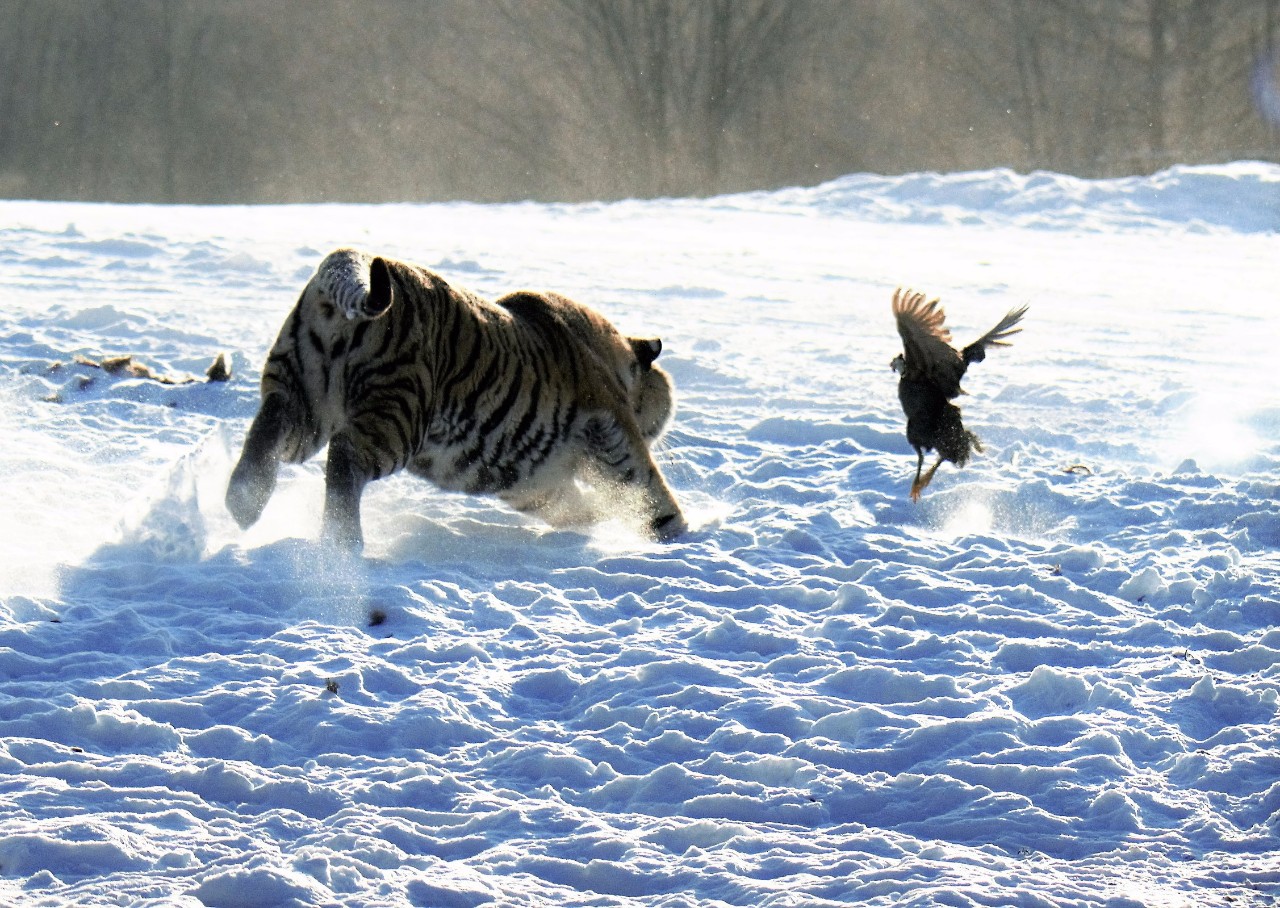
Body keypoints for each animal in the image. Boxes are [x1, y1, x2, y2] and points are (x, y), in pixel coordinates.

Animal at [230, 244, 691, 548]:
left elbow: (578, 505)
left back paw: (243, 500)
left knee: (271, 420)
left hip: (302, 389)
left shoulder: (535, 481)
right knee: (343, 456)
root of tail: (347, 258)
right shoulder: (608, 420)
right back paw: (341, 542)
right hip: (400, 414)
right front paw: (678, 531)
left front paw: (599, 521)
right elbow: (643, 482)